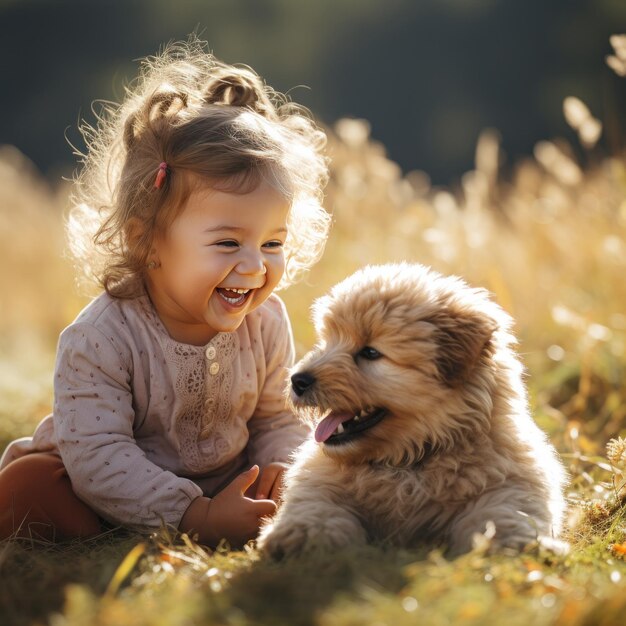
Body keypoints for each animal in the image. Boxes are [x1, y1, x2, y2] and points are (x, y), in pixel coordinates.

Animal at [258, 262, 564, 556]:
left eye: (370, 352)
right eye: (327, 342)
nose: (297, 380)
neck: (408, 461)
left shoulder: (510, 484)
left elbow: (502, 512)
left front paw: (518, 543)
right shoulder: (319, 484)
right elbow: (317, 507)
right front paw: (301, 536)